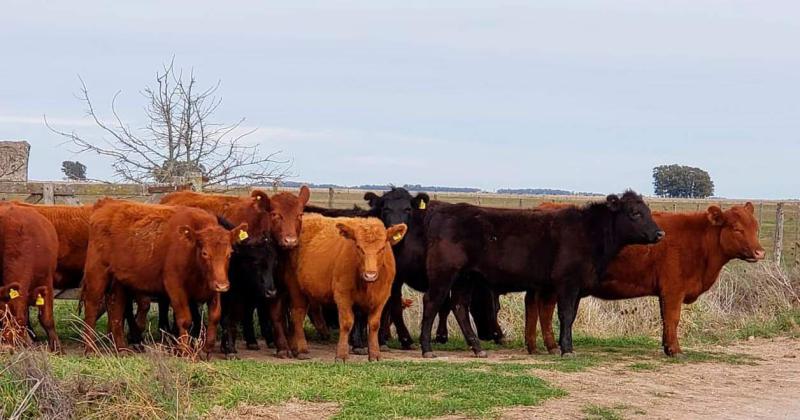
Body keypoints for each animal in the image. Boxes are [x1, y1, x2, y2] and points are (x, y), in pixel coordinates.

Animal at [82, 199, 247, 356]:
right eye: (205, 253)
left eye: (230, 253)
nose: (223, 285)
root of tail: (106, 204)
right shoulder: (175, 286)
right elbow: (185, 319)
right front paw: (184, 351)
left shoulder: (212, 287)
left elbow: (215, 317)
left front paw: (205, 349)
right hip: (97, 273)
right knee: (91, 306)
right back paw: (90, 349)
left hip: (118, 281)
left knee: (115, 309)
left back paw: (122, 349)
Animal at [284, 215, 406, 362]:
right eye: (358, 247)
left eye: (382, 248)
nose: (370, 274)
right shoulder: (343, 295)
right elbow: (347, 323)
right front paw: (341, 355)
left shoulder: (382, 297)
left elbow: (374, 324)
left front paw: (375, 354)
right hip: (295, 286)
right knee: (298, 315)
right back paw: (302, 349)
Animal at [422, 190, 664, 358]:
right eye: (634, 213)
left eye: (648, 211)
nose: (659, 233)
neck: (589, 233)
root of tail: (446, 211)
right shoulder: (567, 283)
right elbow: (565, 314)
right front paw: (567, 349)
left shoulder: (575, 287)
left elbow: (570, 316)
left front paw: (561, 346)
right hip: (444, 273)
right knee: (432, 302)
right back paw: (427, 348)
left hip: (466, 277)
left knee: (459, 307)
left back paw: (478, 348)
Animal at [528, 202, 764, 356]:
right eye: (737, 229)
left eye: (756, 227)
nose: (760, 252)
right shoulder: (673, 289)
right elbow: (672, 318)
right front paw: (675, 350)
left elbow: (665, 319)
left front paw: (667, 347)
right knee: (545, 309)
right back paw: (551, 346)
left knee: (536, 308)